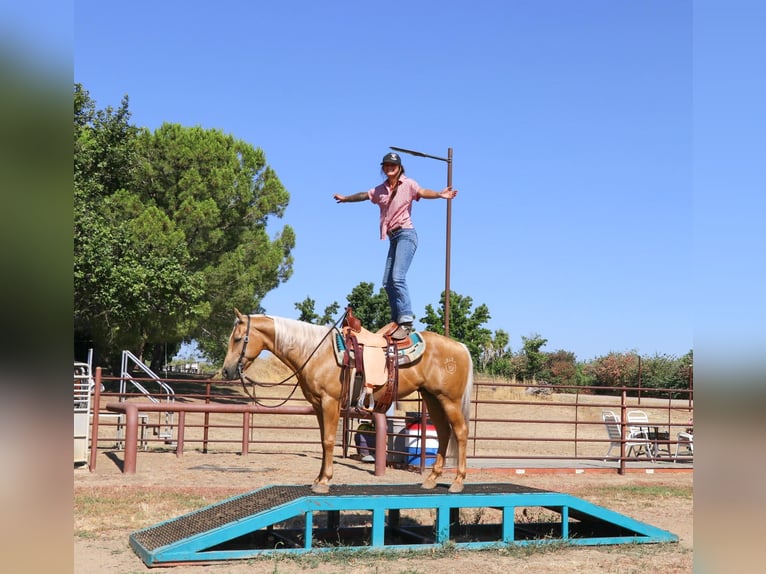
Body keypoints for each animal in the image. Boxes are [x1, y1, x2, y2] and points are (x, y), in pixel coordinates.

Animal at [220, 310, 474, 496]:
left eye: (237, 339)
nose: (226, 371)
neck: (316, 352)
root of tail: (460, 347)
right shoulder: (317, 405)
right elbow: (323, 441)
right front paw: (318, 478)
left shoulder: (329, 402)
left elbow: (329, 440)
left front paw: (324, 481)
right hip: (433, 398)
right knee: (443, 433)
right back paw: (432, 479)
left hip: (449, 400)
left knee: (460, 432)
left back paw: (457, 481)